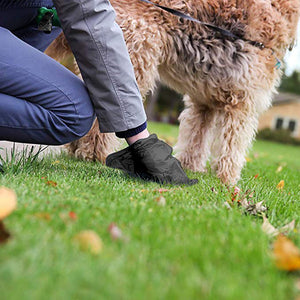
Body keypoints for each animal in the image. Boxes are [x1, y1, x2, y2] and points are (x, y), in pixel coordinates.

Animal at [45, 0, 300, 184]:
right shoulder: (242, 103)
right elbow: (232, 147)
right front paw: (227, 180)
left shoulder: (204, 103)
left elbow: (196, 140)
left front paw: (191, 167)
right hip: (133, 58)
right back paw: (93, 153)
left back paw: (78, 150)